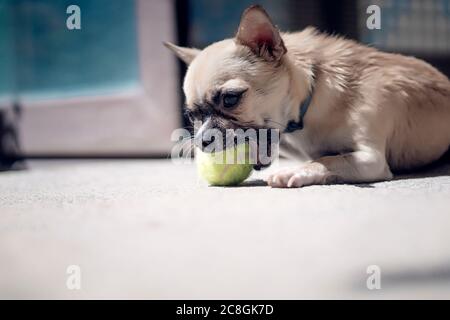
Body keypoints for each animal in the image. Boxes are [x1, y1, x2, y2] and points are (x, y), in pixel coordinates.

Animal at [166, 4, 450, 188]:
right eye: (191, 115)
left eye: (230, 99)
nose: (201, 141)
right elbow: (323, 156)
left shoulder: (371, 159)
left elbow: (329, 160)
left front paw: (298, 171)